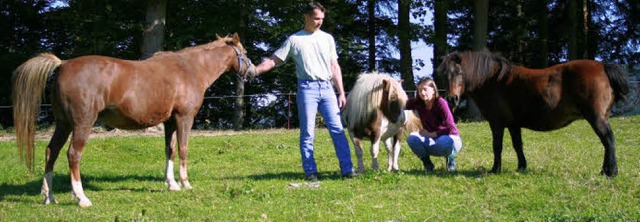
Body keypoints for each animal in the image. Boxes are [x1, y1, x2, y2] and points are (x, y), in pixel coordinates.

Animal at [12, 33, 255, 207]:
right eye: (244, 52)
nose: (252, 71)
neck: (189, 69)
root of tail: (63, 64)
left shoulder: (170, 122)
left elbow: (170, 150)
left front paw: (172, 184)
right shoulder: (184, 118)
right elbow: (183, 149)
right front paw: (185, 183)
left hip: (63, 124)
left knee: (51, 152)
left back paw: (49, 196)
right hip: (82, 124)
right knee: (73, 155)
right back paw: (81, 198)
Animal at [438, 50, 628, 177]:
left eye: (460, 72)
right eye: (444, 74)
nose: (452, 99)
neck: (492, 80)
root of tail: (603, 66)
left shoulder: (497, 123)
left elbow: (497, 146)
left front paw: (495, 169)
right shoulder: (513, 124)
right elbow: (518, 145)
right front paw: (521, 166)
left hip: (596, 118)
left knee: (608, 140)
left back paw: (611, 172)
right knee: (607, 142)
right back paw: (606, 170)